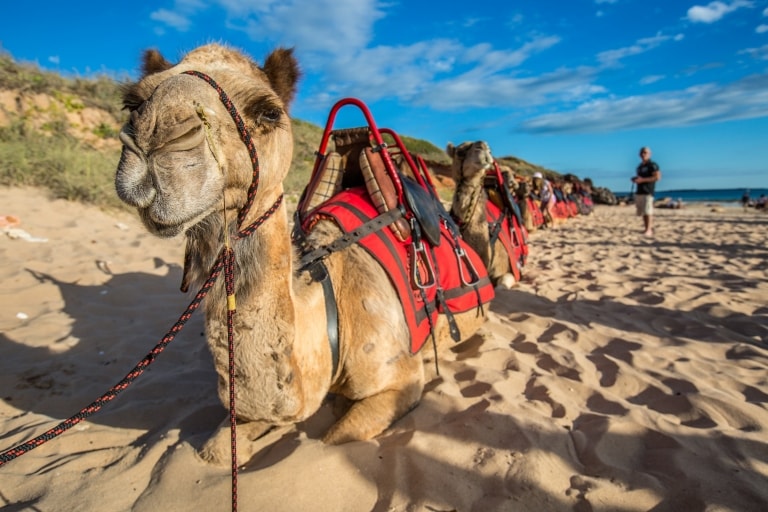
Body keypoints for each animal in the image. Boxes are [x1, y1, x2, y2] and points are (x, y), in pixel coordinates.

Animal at [114, 46, 486, 466]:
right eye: (132, 103)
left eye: (269, 112)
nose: (155, 139)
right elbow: (216, 449)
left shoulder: (401, 379)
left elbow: (332, 438)